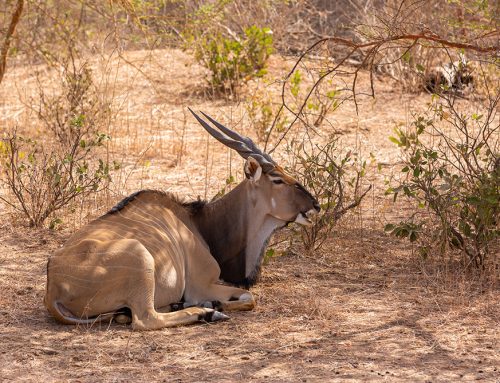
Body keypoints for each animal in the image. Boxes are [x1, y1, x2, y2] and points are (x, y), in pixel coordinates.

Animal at [46, 109, 320, 332]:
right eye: (277, 179)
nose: (315, 204)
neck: (198, 222)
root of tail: (53, 289)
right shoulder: (202, 285)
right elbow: (249, 299)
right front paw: (213, 305)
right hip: (140, 256)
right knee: (145, 319)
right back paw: (207, 313)